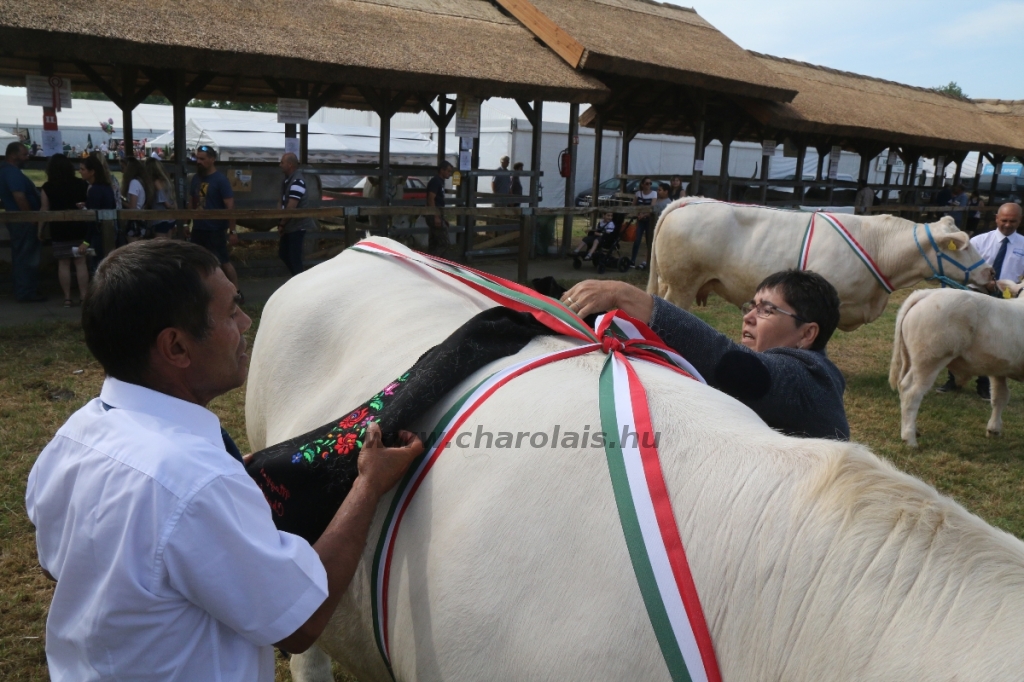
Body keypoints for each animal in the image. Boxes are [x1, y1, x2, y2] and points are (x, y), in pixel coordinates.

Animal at [888, 278, 1024, 444]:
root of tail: (926, 293)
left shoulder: (999, 368)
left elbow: (1000, 397)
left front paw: (993, 429)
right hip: (929, 358)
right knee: (911, 391)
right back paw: (909, 438)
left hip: (909, 357)